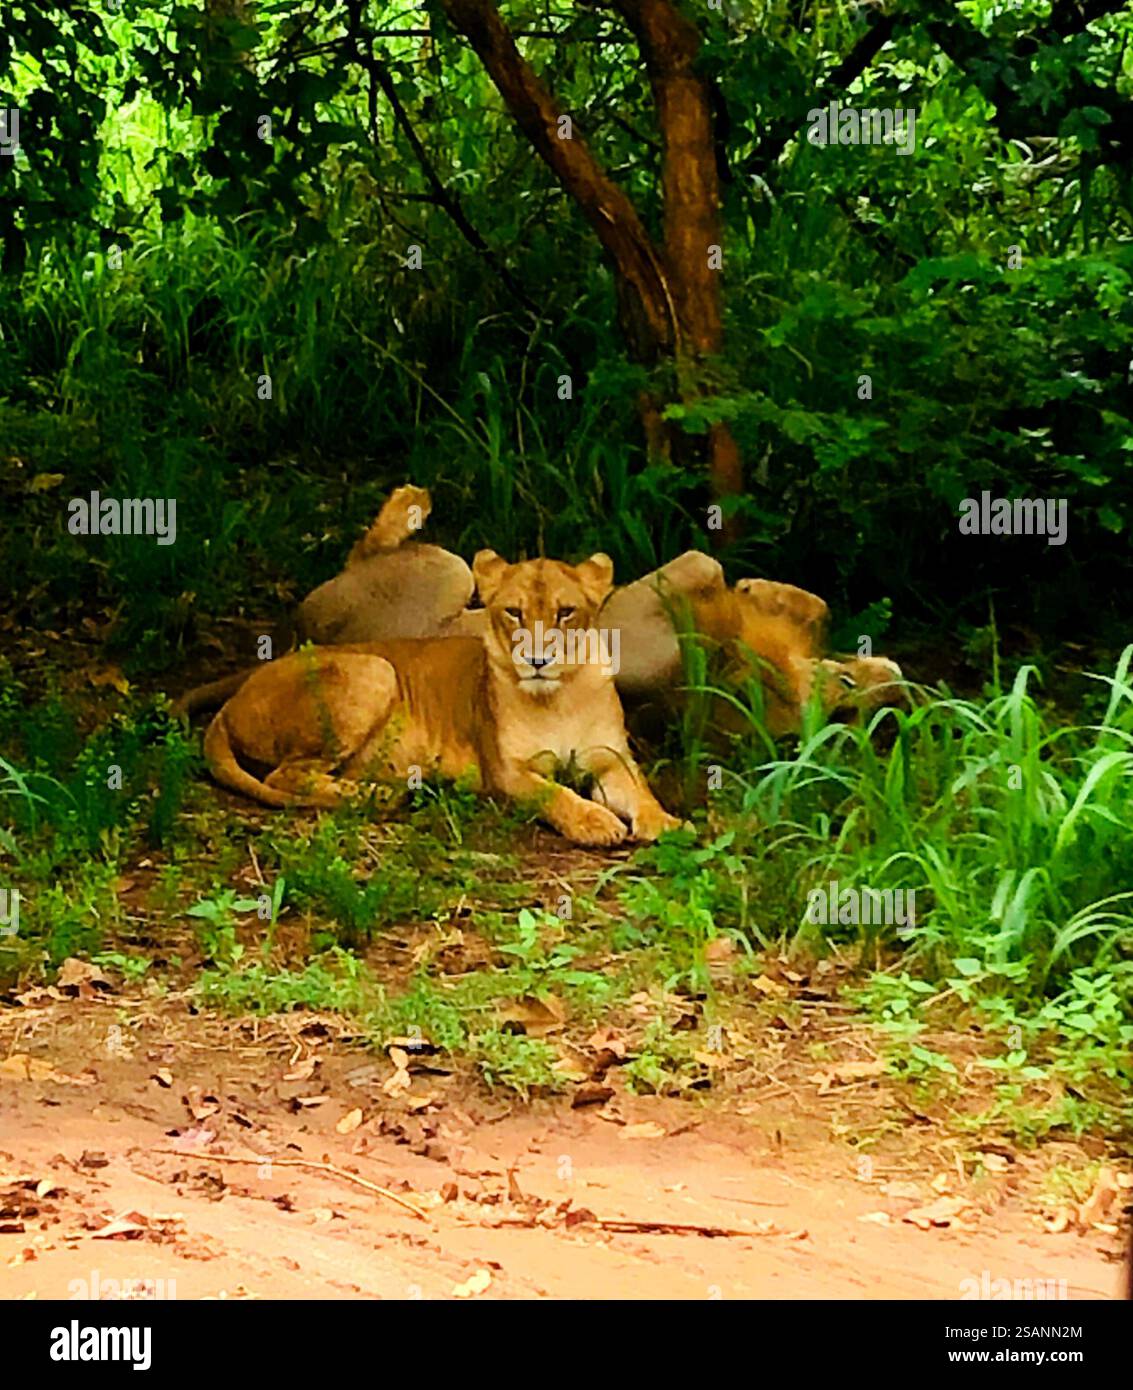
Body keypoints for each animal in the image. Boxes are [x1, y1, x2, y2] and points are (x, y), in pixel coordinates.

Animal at [200, 551, 683, 847]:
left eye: (566, 612)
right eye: (513, 612)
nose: (537, 659)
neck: (558, 696)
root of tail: (234, 697)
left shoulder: (610, 758)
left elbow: (640, 791)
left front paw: (667, 824)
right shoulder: (505, 771)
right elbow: (555, 794)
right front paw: (594, 822)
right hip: (376, 669)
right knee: (285, 774)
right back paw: (382, 794)